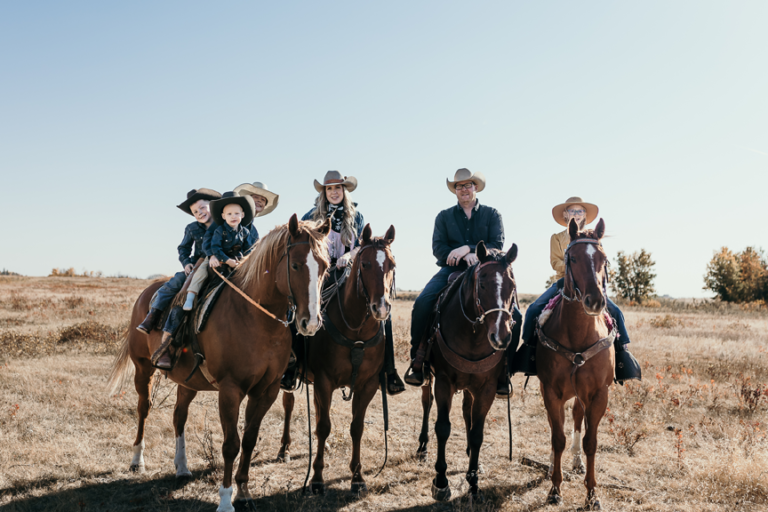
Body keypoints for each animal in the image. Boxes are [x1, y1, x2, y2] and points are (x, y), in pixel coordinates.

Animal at [107, 215, 330, 512]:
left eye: (325, 267)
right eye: (294, 264)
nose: (311, 322)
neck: (256, 319)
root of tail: (149, 291)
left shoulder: (267, 390)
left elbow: (249, 440)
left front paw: (244, 492)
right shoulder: (230, 390)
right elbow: (230, 445)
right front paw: (225, 499)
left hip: (187, 381)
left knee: (179, 416)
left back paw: (182, 467)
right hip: (143, 369)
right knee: (144, 408)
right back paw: (137, 461)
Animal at [278, 225, 396, 496]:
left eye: (392, 265)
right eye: (364, 264)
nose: (381, 308)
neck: (356, 331)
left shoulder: (367, 385)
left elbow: (357, 427)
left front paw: (357, 477)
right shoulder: (324, 381)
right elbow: (324, 426)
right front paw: (317, 478)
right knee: (289, 405)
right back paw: (284, 449)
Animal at [416, 242, 520, 502]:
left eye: (512, 285)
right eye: (482, 283)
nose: (500, 337)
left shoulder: (486, 389)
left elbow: (477, 433)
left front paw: (473, 482)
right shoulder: (443, 382)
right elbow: (443, 427)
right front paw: (441, 483)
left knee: (466, 413)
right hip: (428, 379)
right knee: (426, 403)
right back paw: (422, 447)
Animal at [536, 218, 616, 510]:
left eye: (604, 258)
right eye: (572, 257)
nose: (595, 301)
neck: (579, 333)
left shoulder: (599, 394)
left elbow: (590, 441)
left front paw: (592, 493)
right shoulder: (551, 391)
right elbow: (556, 437)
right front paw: (554, 489)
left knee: (577, 420)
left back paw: (577, 461)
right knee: (555, 424)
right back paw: (551, 465)